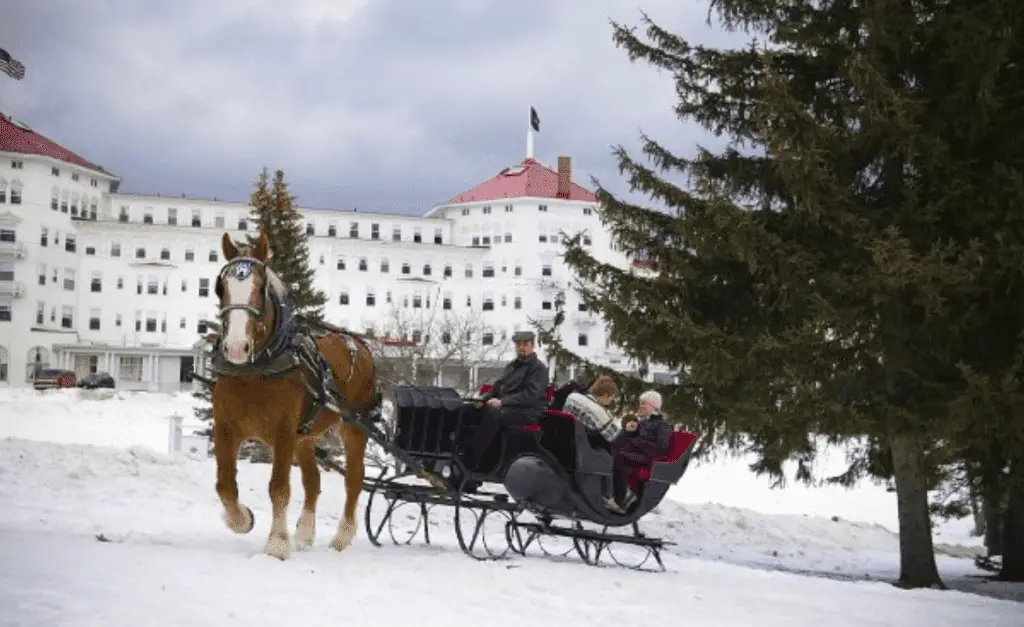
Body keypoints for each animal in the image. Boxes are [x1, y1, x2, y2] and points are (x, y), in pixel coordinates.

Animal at [207, 231, 376, 561]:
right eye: (221, 287)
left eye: (260, 287)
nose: (235, 348)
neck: (256, 369)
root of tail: (358, 344)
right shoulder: (226, 428)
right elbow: (225, 486)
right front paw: (242, 519)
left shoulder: (283, 432)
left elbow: (279, 487)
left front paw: (277, 544)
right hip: (305, 437)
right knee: (313, 481)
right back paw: (305, 534)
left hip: (354, 427)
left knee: (354, 478)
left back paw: (342, 538)